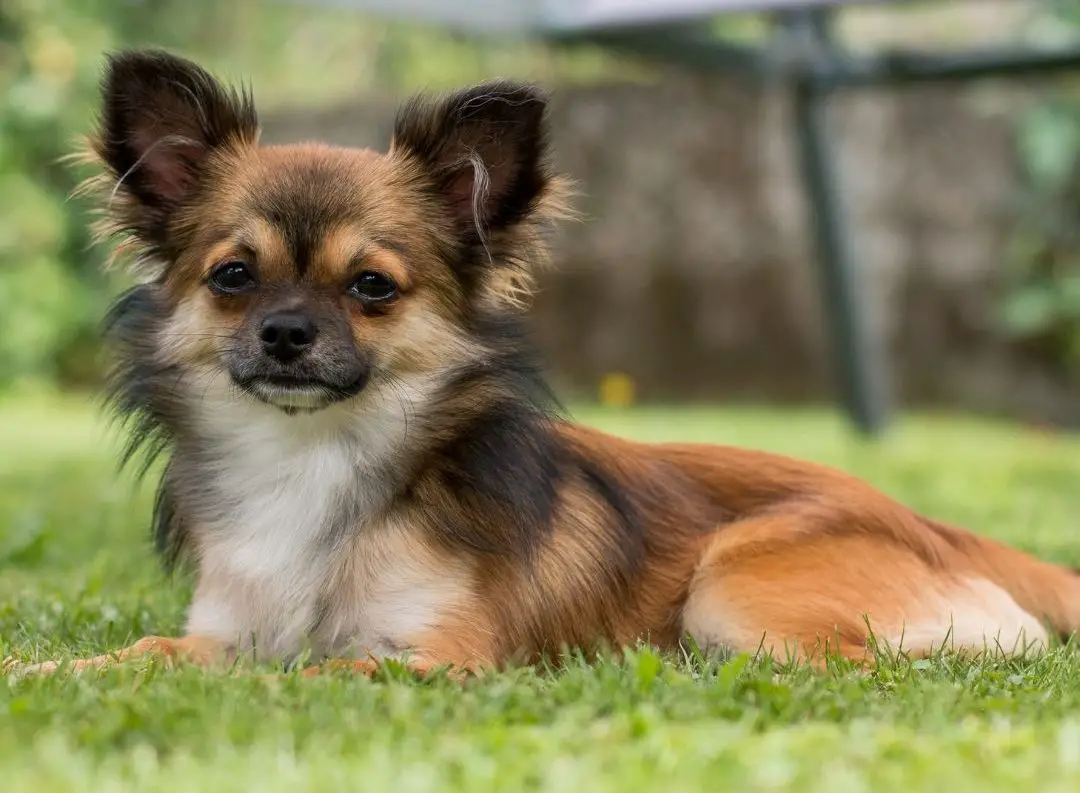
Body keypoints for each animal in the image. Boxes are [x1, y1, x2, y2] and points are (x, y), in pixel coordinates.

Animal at [10, 51, 1080, 678]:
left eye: (371, 287)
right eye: (233, 275)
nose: (283, 334)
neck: (313, 462)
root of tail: (927, 523)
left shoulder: (437, 660)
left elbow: (315, 670)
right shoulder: (219, 630)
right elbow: (147, 652)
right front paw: (50, 677)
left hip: (733, 588)